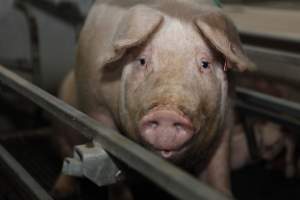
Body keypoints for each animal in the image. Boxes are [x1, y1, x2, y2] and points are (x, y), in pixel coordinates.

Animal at [52, 0, 254, 198]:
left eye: (205, 64)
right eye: (142, 61)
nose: (167, 114)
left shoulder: (227, 114)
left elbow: (218, 168)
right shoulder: (95, 105)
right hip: (61, 124)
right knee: (65, 151)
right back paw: (61, 191)